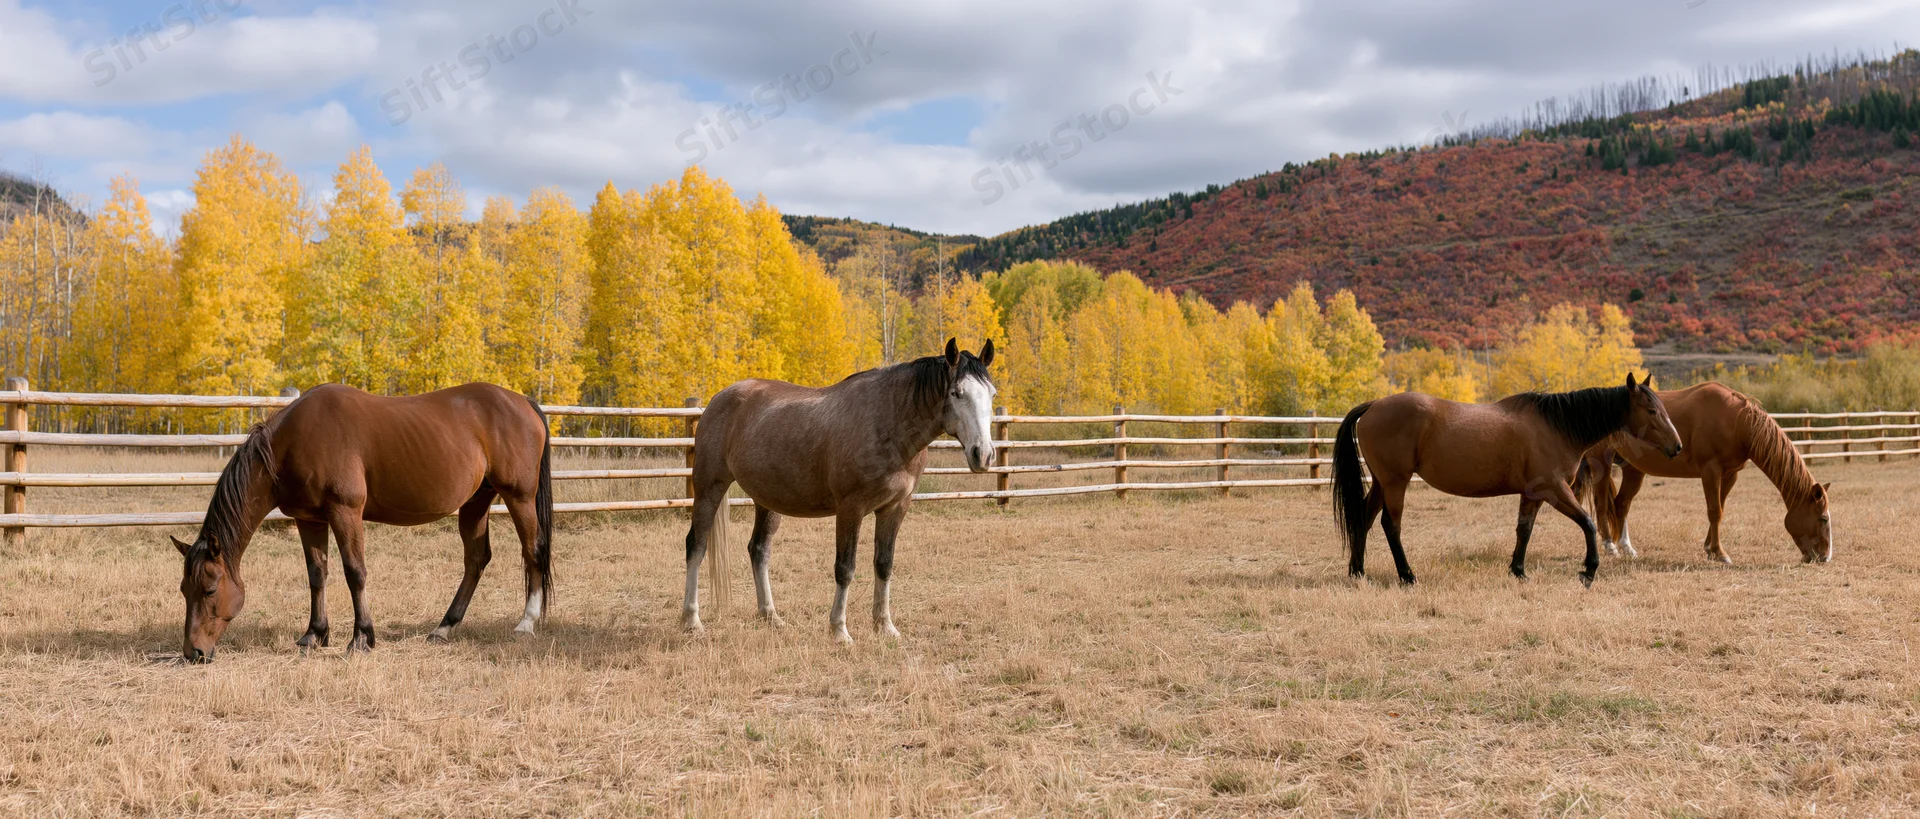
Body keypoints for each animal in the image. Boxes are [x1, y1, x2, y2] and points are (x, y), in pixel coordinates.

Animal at [172, 382, 553, 663]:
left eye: (209, 589)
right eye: (183, 590)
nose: (194, 652)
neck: (291, 443)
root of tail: (522, 401)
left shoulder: (346, 512)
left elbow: (354, 572)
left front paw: (362, 638)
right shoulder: (309, 519)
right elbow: (317, 575)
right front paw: (314, 635)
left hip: (519, 497)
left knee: (533, 551)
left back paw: (526, 623)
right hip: (476, 502)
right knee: (475, 560)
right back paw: (444, 627)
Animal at [680, 338, 997, 644]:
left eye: (992, 394)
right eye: (957, 392)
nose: (983, 455)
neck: (888, 422)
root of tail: (719, 398)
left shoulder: (894, 508)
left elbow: (884, 565)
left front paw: (885, 627)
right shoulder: (850, 509)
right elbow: (845, 568)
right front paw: (839, 631)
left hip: (767, 499)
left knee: (759, 550)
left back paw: (771, 617)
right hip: (709, 488)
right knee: (696, 546)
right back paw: (691, 621)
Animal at [1331, 373, 1682, 587]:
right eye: (1652, 410)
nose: (1676, 446)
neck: (1558, 426)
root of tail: (1373, 406)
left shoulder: (1533, 494)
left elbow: (1523, 530)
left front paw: (1519, 571)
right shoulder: (1555, 490)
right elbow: (1587, 523)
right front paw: (1588, 570)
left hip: (1381, 483)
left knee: (1363, 518)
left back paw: (1357, 572)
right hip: (1395, 483)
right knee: (1391, 525)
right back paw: (1407, 576)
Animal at [1574, 382, 1832, 564]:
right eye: (1823, 518)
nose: (1825, 557)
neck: (1735, 421)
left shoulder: (1730, 475)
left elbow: (1720, 509)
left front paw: (1709, 548)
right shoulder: (1711, 471)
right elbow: (1714, 511)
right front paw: (1720, 553)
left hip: (1633, 470)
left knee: (1621, 504)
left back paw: (1627, 547)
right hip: (1602, 463)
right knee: (1602, 504)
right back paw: (1610, 546)